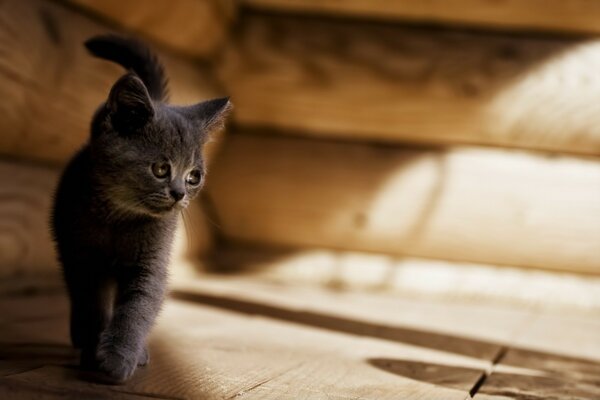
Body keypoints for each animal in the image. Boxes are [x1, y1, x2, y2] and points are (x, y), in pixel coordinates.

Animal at [50, 35, 230, 384]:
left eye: (194, 176)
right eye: (160, 169)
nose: (178, 193)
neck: (118, 221)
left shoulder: (150, 263)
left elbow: (137, 309)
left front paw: (119, 356)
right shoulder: (82, 257)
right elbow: (92, 304)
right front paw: (93, 349)